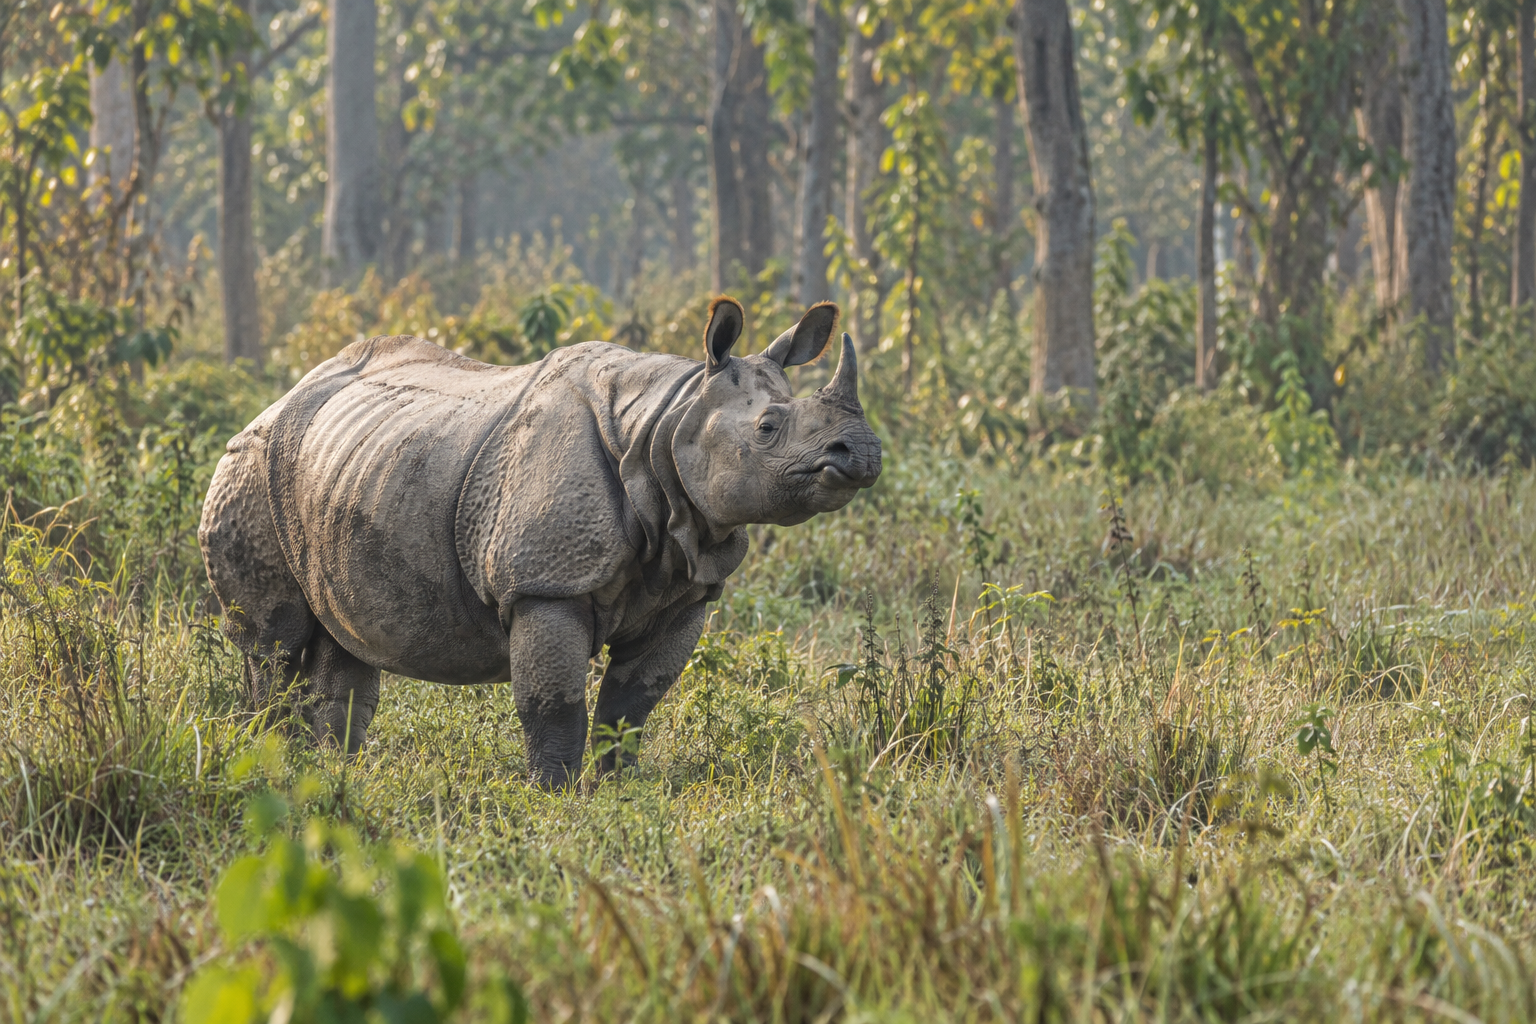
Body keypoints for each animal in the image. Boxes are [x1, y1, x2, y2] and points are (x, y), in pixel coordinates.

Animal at [199, 297, 881, 788]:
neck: (669, 422)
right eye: (768, 429)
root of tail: (278, 399)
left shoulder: (685, 588)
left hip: (349, 467)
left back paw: (330, 768)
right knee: (274, 644)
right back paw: (274, 761)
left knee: (343, 639)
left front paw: (614, 789)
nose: (864, 452)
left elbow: (634, 700)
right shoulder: (544, 585)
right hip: (249, 467)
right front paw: (554, 793)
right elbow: (551, 698)